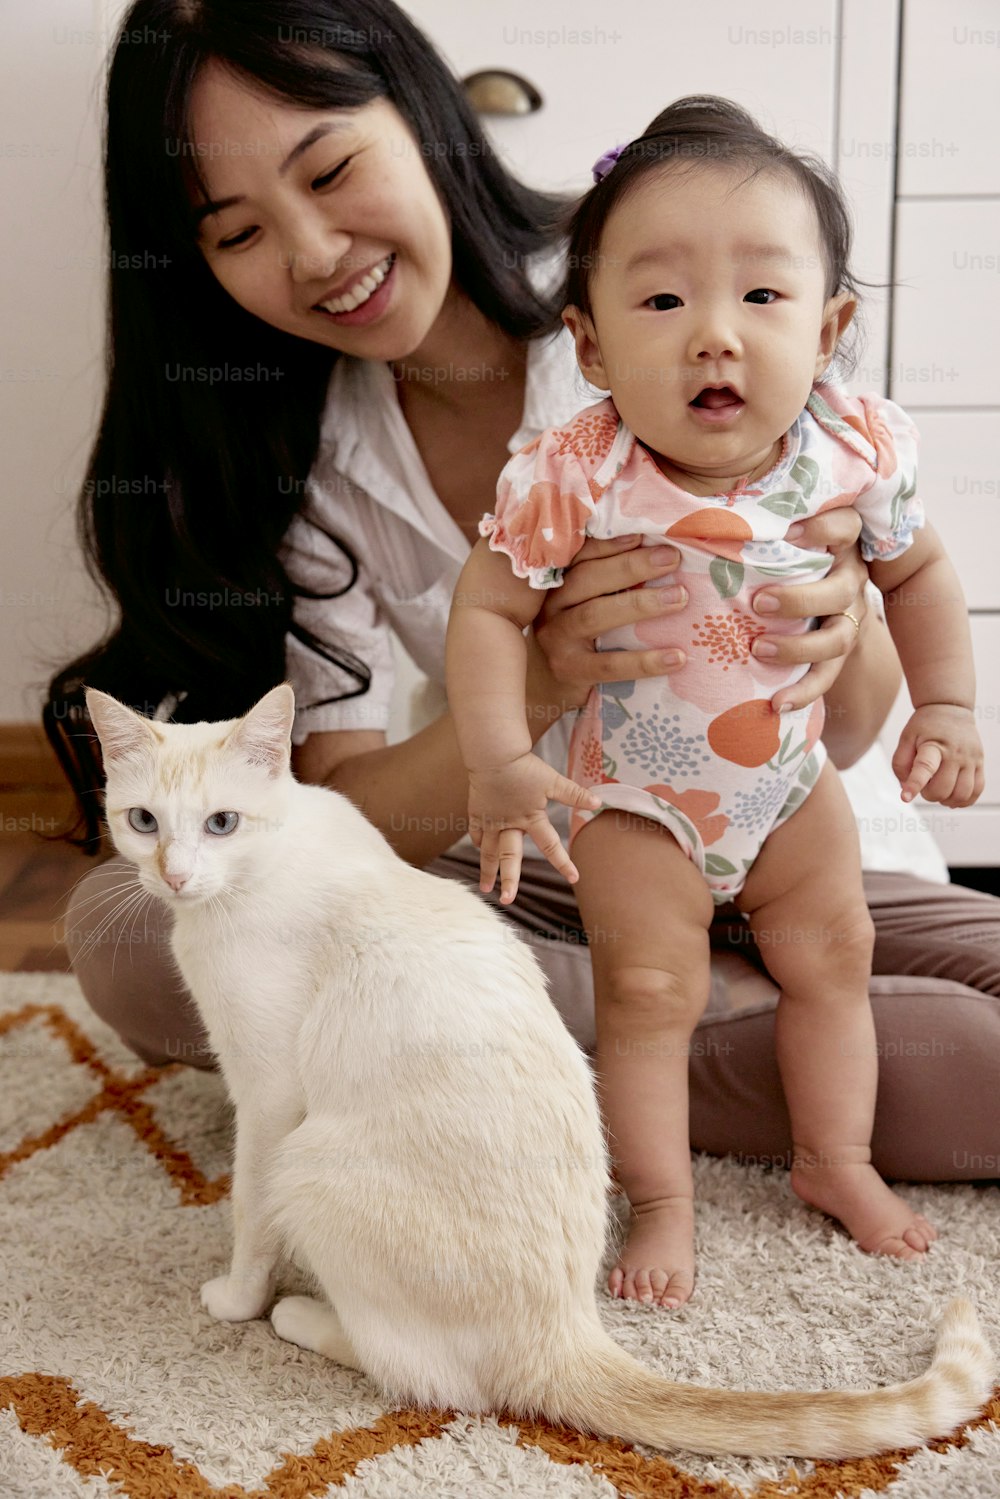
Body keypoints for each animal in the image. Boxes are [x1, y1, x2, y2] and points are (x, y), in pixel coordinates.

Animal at [89, 686, 995, 1457]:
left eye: (221, 822)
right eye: (143, 821)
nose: (173, 873)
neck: (258, 868)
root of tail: (568, 1329)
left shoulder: (267, 1096)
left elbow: (247, 1214)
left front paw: (236, 1300)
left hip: (310, 1166)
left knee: (437, 1380)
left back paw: (300, 1314)